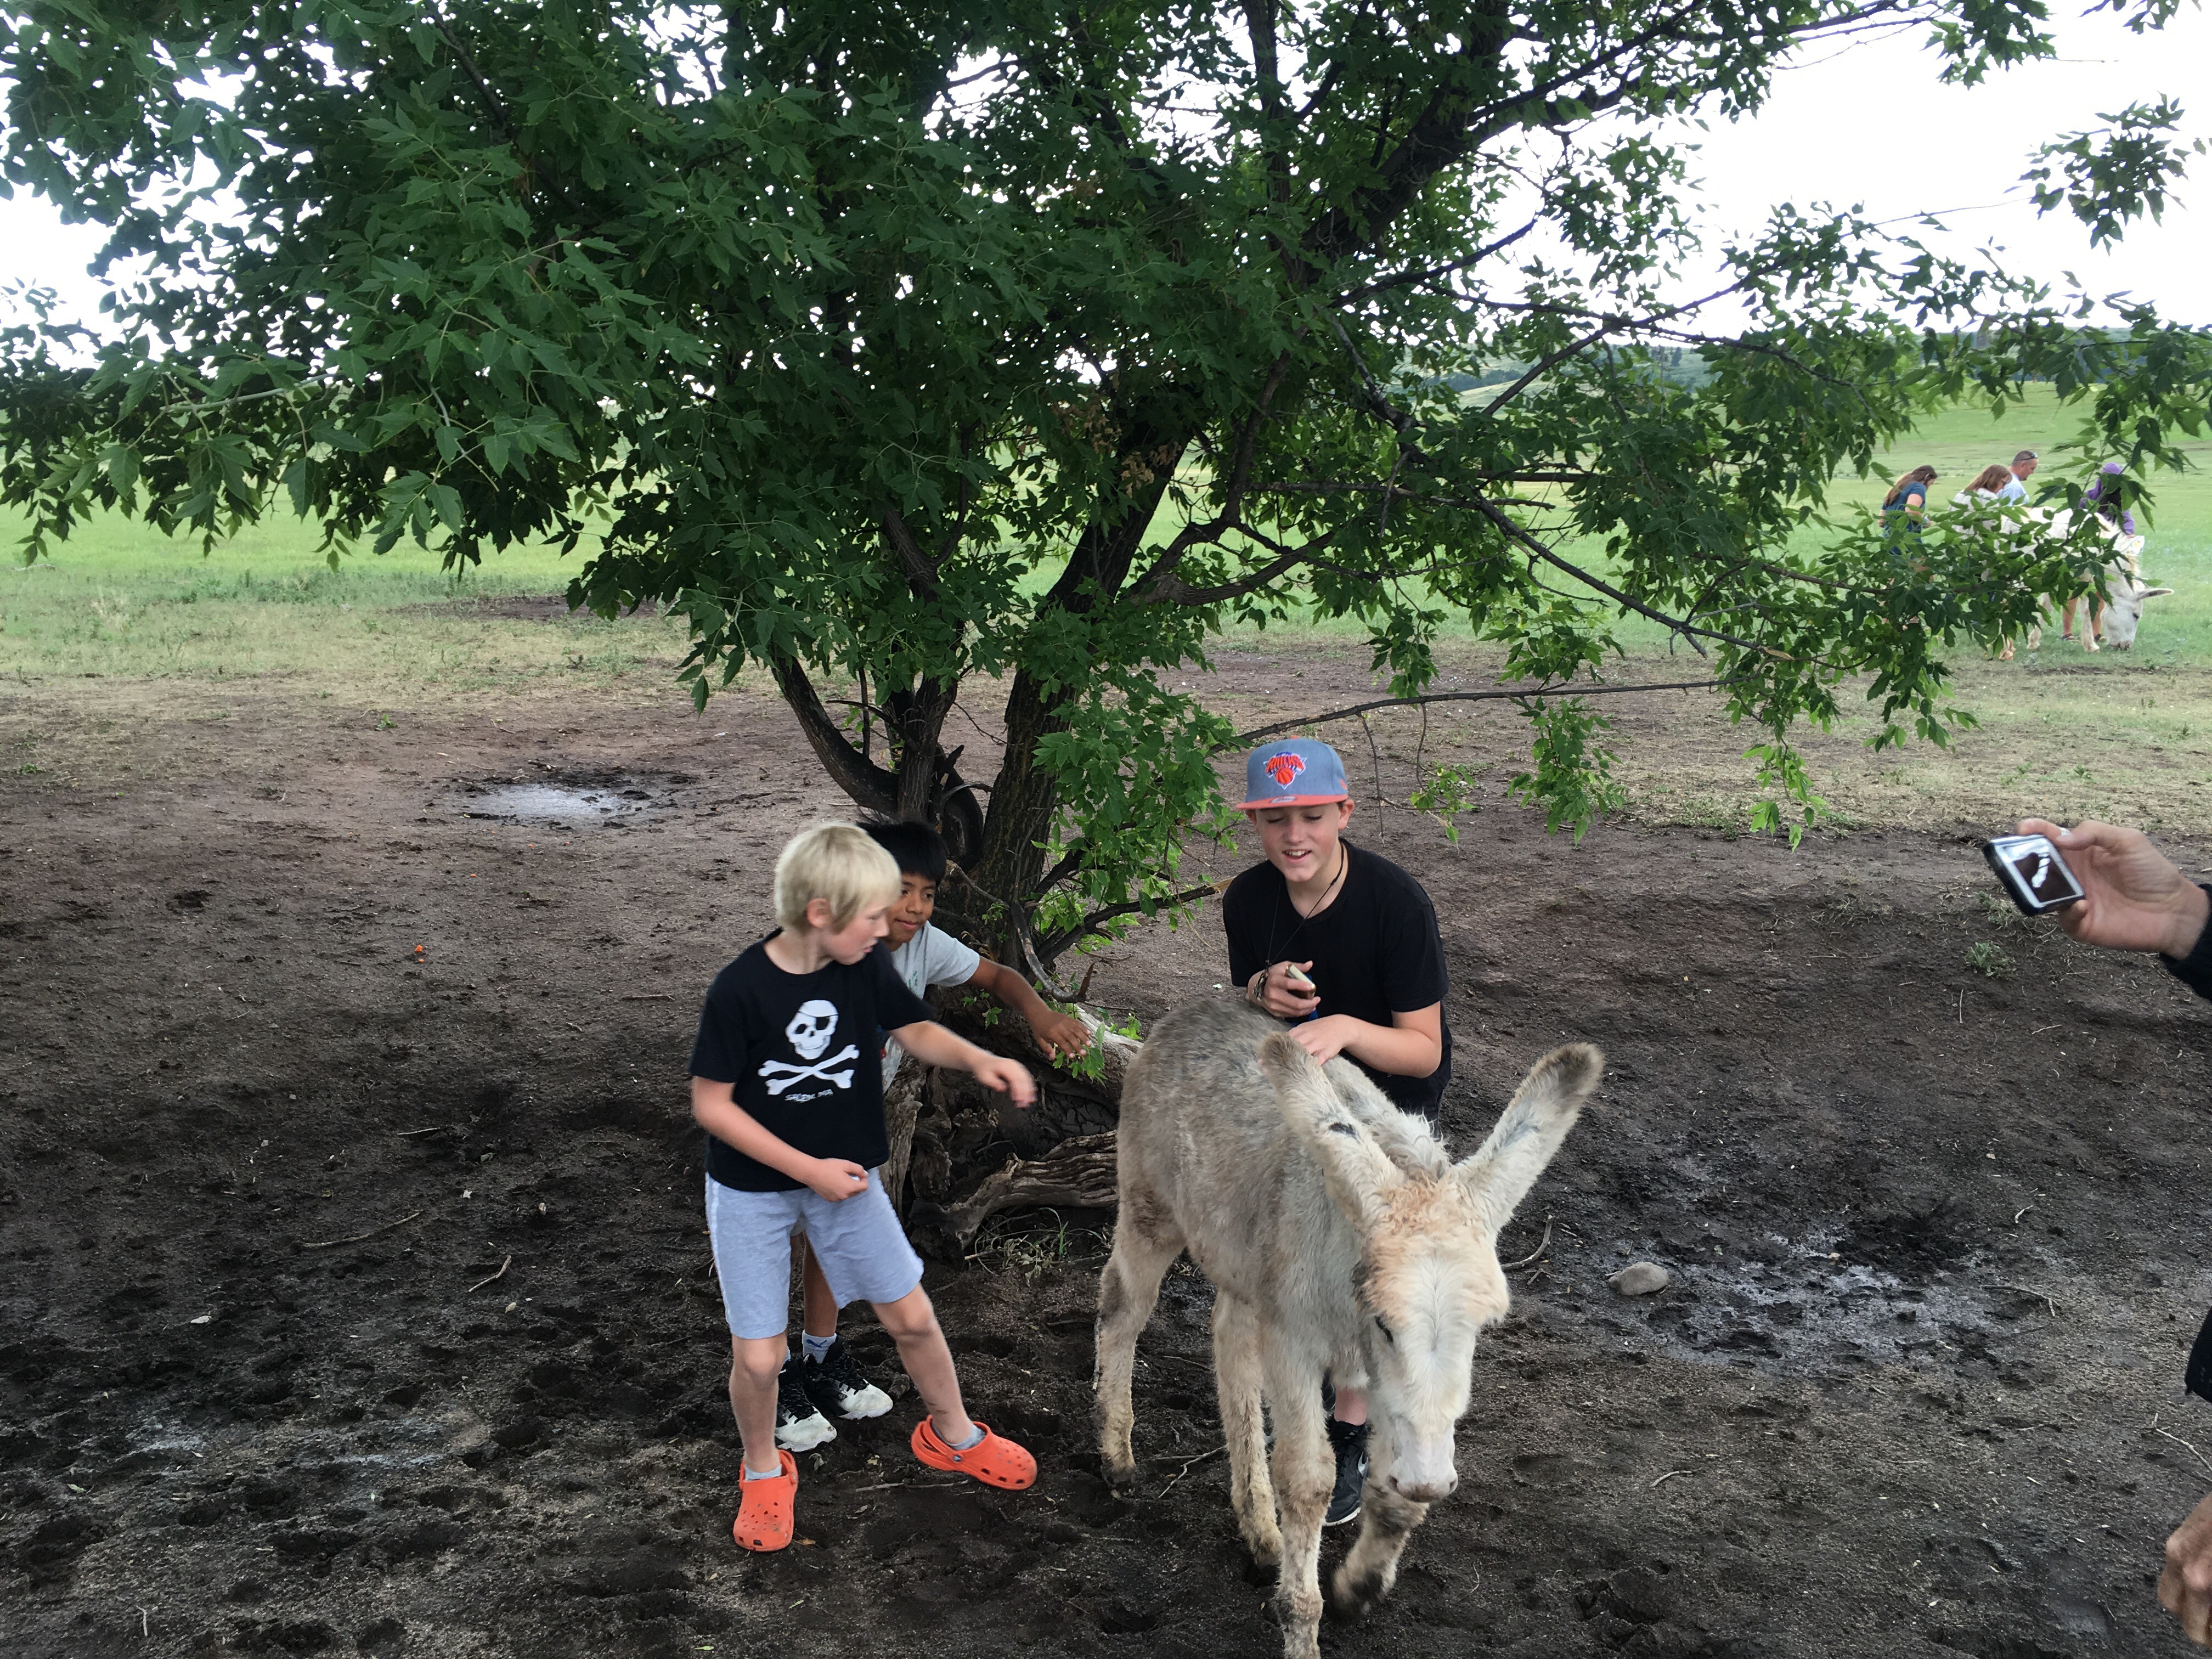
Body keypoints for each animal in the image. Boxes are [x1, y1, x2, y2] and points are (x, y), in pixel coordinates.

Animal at [1095, 995, 1603, 1659]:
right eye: (1385, 1324)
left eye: (1483, 1328)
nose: (1433, 1481)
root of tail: (1193, 1010)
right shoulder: (1296, 1345)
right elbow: (1307, 1478)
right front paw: (1302, 1623)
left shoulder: (1385, 1383)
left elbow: (1394, 1493)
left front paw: (1354, 1590)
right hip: (1150, 1207)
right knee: (1123, 1307)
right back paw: (1117, 1455)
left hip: (1246, 1265)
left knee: (1229, 1342)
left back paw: (1260, 1531)